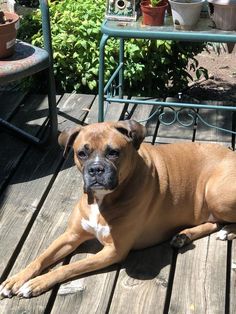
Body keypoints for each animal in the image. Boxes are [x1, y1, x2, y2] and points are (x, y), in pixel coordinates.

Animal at [0, 119, 236, 296]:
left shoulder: (113, 250)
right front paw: (16, 279)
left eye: (113, 152)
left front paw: (37, 283)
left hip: (215, 193)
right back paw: (184, 235)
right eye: (81, 153)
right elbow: (41, 257)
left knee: (225, 221)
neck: (101, 200)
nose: (96, 169)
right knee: (214, 222)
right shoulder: (71, 236)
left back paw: (227, 232)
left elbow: (69, 267)